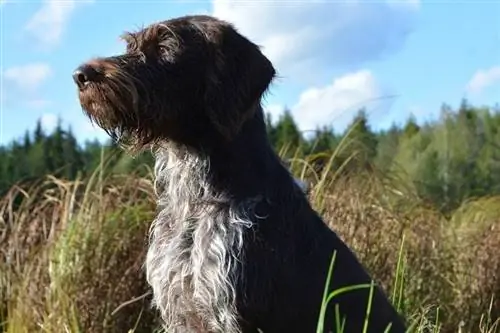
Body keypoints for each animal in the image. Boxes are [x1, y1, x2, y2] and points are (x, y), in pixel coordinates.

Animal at [73, 14, 406, 330]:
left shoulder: (233, 315)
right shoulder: (180, 310)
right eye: (130, 46)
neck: (195, 200)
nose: (81, 75)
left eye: (166, 47)